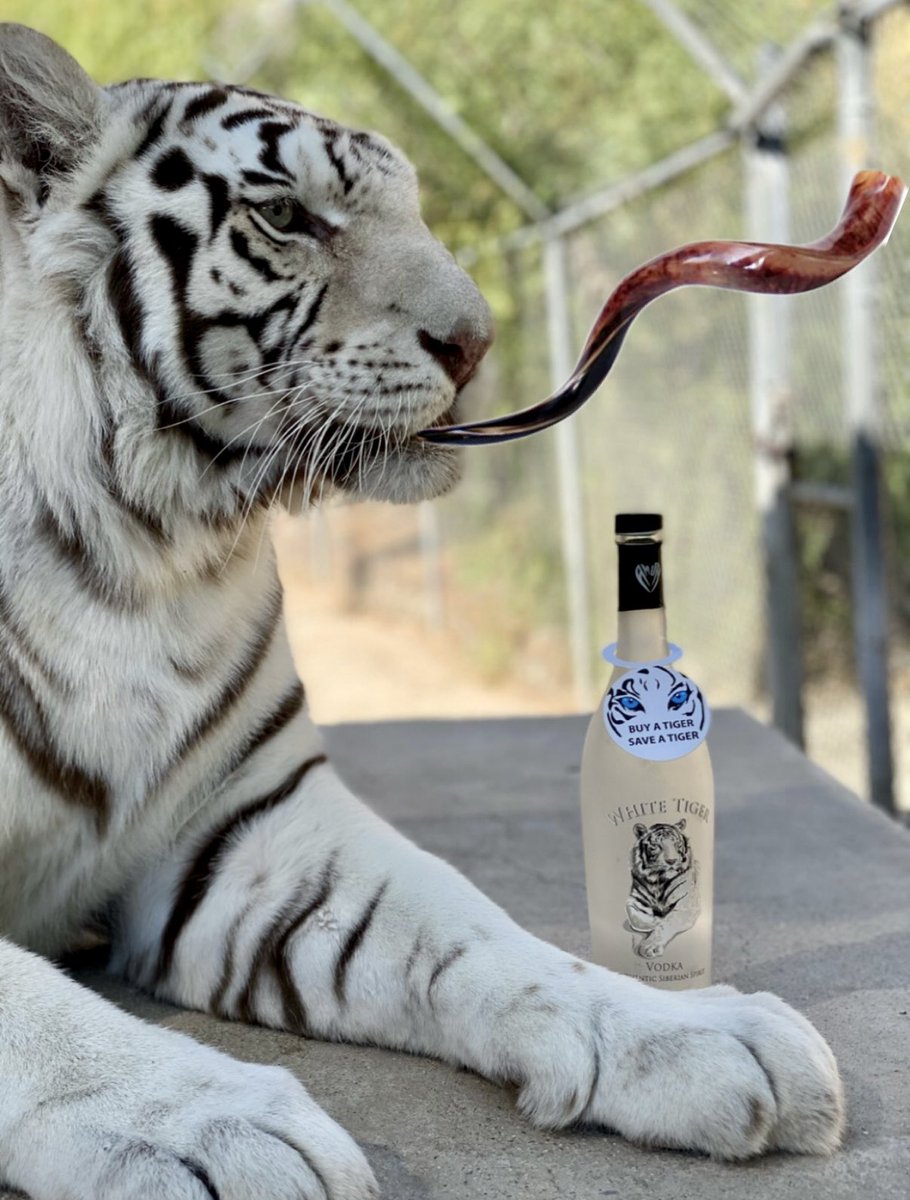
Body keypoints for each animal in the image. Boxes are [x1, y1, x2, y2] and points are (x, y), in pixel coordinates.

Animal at [626, 820, 700, 958]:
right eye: (656, 846)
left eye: (676, 843)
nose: (671, 861)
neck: (657, 881)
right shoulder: (634, 900)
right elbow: (634, 916)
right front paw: (654, 921)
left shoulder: (686, 905)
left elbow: (667, 923)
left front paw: (650, 946)